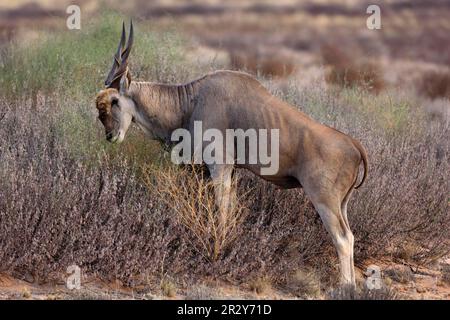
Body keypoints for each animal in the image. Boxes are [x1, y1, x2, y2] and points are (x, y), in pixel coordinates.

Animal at [96, 21, 370, 286]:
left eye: (114, 101)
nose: (110, 135)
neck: (190, 101)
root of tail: (354, 145)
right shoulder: (233, 171)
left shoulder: (219, 167)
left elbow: (222, 212)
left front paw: (219, 249)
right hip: (341, 204)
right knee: (350, 235)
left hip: (324, 200)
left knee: (342, 238)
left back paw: (345, 286)